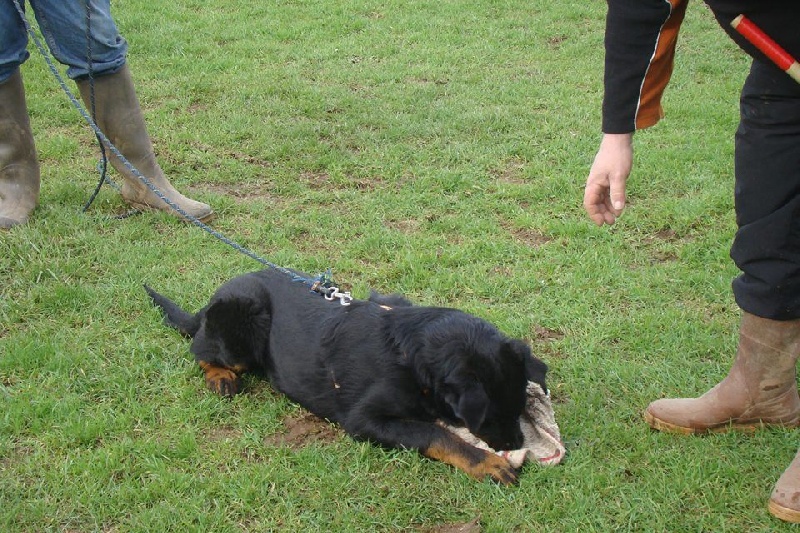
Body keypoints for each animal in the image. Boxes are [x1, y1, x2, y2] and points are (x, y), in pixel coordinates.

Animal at [144, 268, 548, 484]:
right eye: (492, 417)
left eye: (521, 407)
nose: (516, 444)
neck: (411, 356)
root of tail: (210, 303)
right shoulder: (363, 419)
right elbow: (435, 434)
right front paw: (485, 462)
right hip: (243, 320)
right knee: (199, 349)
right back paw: (220, 376)